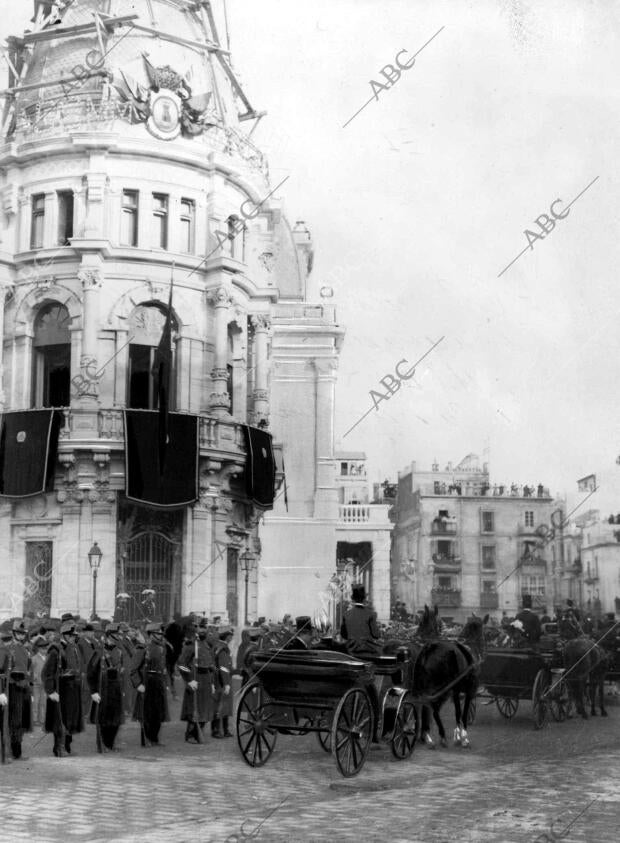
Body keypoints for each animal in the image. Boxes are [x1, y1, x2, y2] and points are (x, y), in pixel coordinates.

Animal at [410, 608, 486, 752]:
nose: (415, 637)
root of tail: (429, 648)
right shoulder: (469, 690)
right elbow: (462, 713)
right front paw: (463, 737)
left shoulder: (454, 691)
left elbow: (457, 712)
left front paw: (457, 735)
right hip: (440, 687)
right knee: (433, 708)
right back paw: (439, 736)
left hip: (432, 688)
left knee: (428, 707)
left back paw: (429, 737)